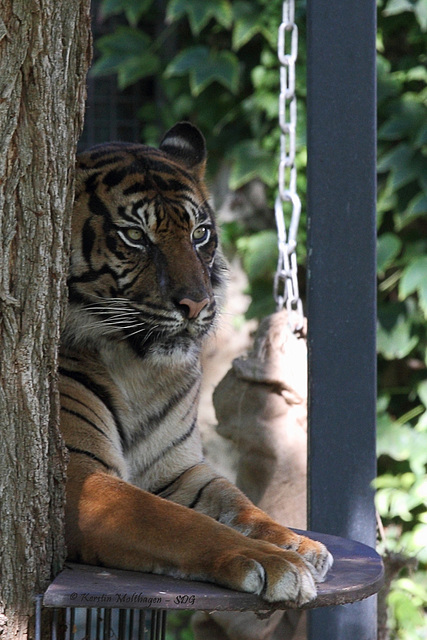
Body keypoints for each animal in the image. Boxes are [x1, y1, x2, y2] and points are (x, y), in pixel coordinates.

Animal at [59, 121, 334, 604]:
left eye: (200, 233)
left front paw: (296, 543)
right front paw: (276, 562)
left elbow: (238, 503)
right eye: (135, 236)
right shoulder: (78, 474)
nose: (198, 303)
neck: (138, 369)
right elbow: (175, 522)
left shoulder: (180, 471)